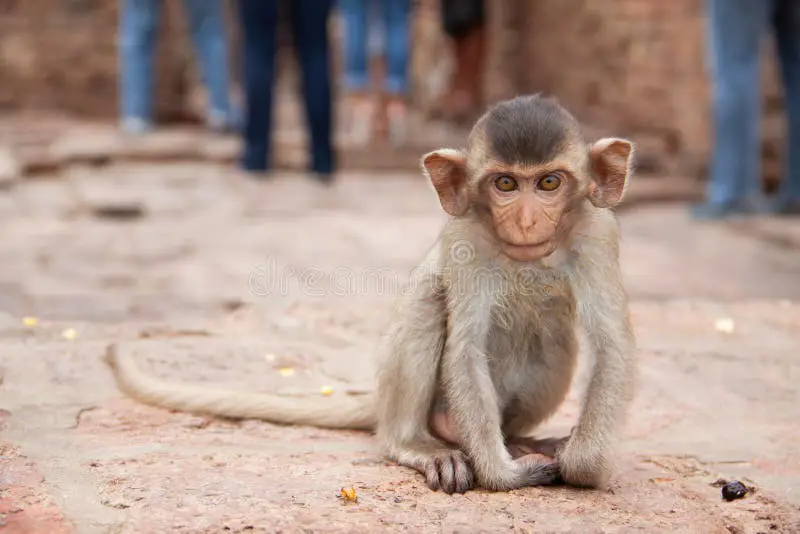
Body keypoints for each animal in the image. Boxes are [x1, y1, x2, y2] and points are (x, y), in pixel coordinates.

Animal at [104, 94, 636, 496]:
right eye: (505, 183)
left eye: (548, 182)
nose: (526, 221)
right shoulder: (463, 237)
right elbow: (465, 350)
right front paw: (504, 476)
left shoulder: (598, 233)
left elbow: (613, 346)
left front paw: (579, 464)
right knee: (429, 302)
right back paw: (421, 445)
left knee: (554, 335)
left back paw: (523, 439)